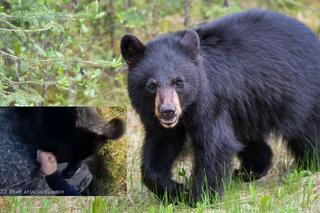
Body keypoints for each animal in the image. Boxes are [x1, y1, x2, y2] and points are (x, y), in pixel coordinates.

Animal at [120, 9, 320, 204]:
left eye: (179, 82)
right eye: (151, 85)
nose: (168, 111)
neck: (188, 110)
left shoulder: (211, 103)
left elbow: (215, 146)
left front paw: (201, 197)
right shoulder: (158, 121)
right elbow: (159, 150)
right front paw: (175, 191)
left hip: (302, 97)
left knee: (309, 134)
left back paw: (308, 165)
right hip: (249, 110)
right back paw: (247, 172)